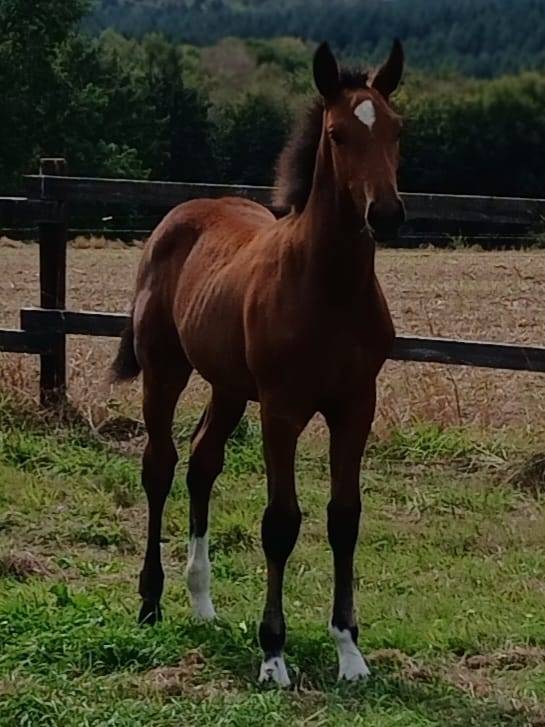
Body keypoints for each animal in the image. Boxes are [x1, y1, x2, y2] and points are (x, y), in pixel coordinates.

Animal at [111, 39, 405, 687]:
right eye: (338, 133)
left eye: (397, 129)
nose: (387, 214)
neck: (328, 289)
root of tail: (176, 217)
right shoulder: (282, 409)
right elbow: (281, 522)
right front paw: (273, 655)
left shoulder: (356, 406)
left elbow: (344, 517)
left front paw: (350, 651)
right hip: (166, 371)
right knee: (160, 466)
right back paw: (151, 601)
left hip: (228, 386)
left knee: (202, 463)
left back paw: (202, 603)